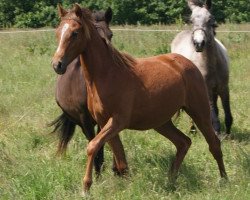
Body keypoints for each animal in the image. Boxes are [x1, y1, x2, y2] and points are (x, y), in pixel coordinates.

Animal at [51, 4, 228, 195]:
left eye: (75, 33)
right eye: (58, 31)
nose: (57, 64)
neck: (107, 74)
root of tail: (187, 62)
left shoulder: (117, 122)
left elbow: (92, 146)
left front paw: (86, 186)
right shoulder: (104, 122)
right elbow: (120, 161)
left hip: (199, 111)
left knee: (214, 144)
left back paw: (224, 180)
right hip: (161, 122)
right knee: (183, 142)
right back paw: (170, 181)